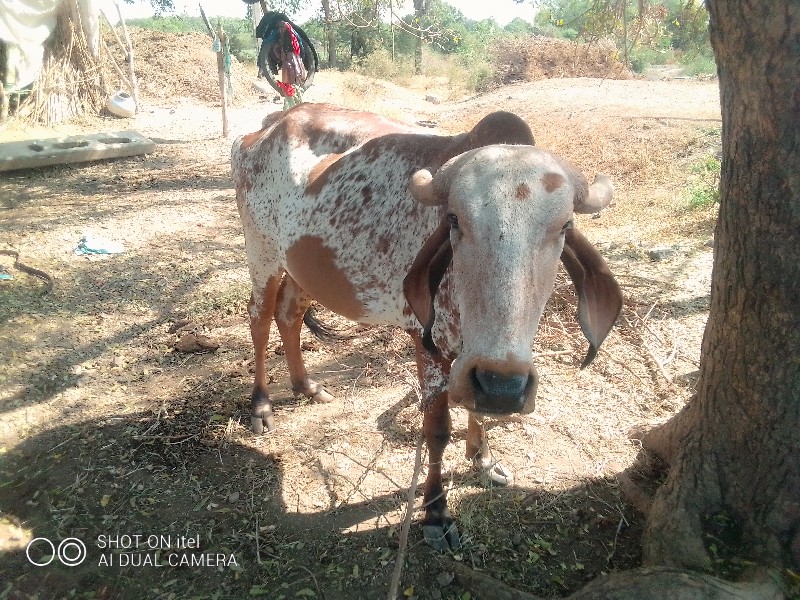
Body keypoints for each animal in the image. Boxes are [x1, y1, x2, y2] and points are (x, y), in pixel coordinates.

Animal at [231, 102, 624, 548]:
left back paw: (306, 386)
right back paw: (261, 404)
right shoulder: (429, 346)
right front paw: (436, 510)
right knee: (259, 317)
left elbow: (477, 407)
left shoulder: (475, 362)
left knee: (289, 315)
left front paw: (483, 460)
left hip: (301, 267)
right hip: (261, 252)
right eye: (453, 220)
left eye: (564, 226)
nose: (505, 386)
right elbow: (437, 430)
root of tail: (270, 125)